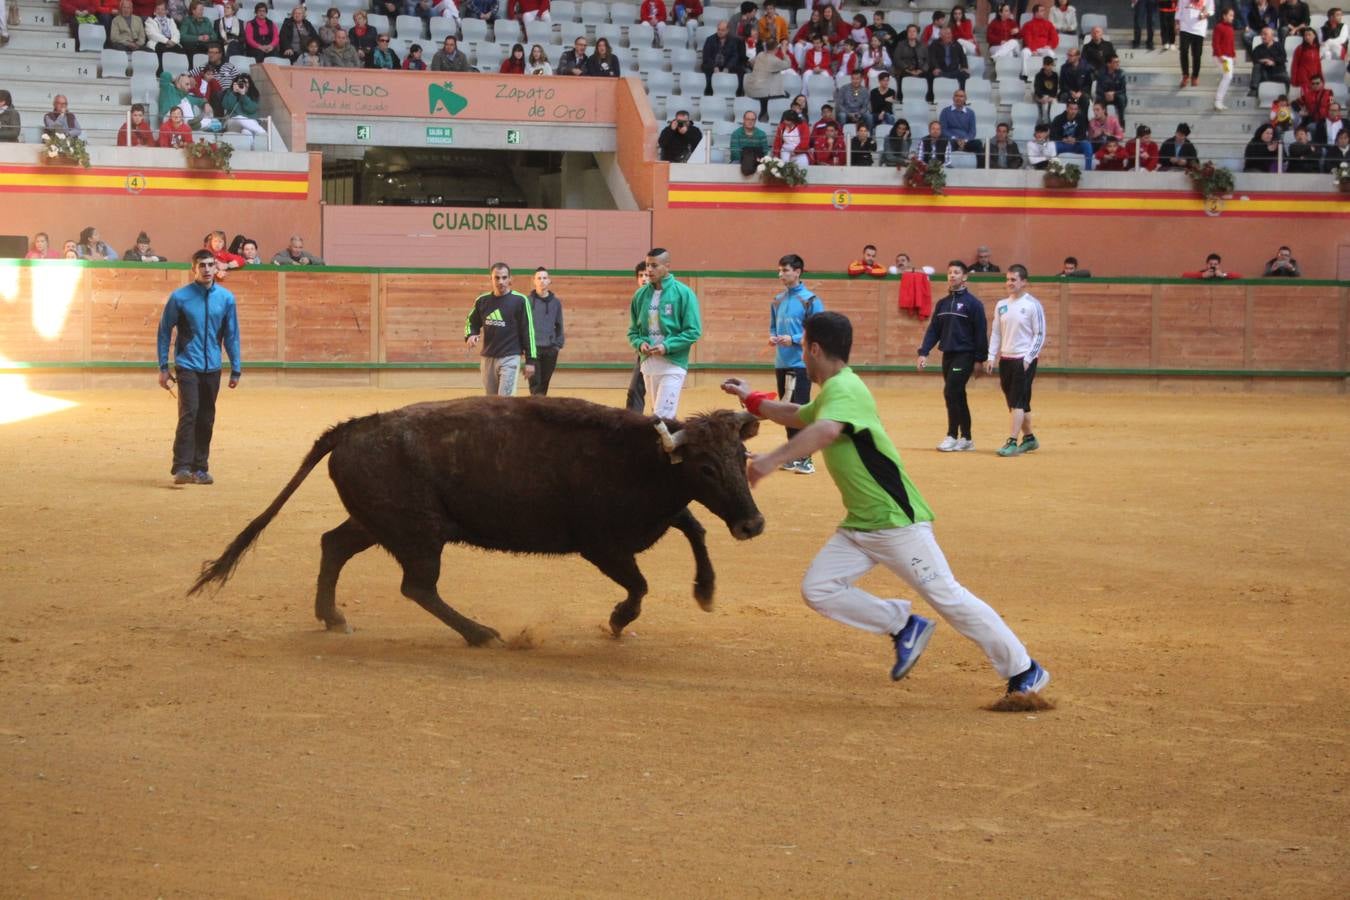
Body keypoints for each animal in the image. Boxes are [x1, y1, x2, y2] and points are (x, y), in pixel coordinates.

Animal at [187, 396, 772, 644]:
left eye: (740, 457)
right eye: (704, 466)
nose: (752, 525)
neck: (643, 457)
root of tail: (353, 427)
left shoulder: (657, 520)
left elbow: (695, 528)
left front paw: (705, 592)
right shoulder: (602, 545)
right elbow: (640, 584)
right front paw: (618, 620)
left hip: (380, 523)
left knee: (334, 545)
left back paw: (332, 617)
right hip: (418, 533)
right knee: (418, 587)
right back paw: (481, 633)